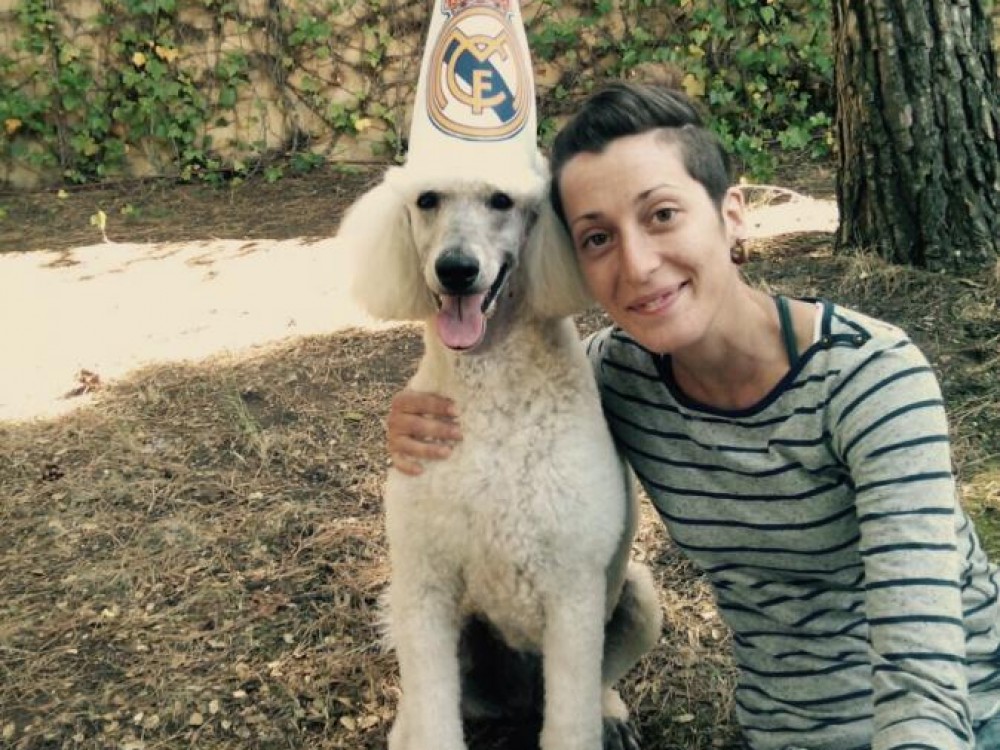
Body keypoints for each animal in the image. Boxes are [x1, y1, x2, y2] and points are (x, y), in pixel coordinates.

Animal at [338, 158, 662, 750]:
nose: (456, 269)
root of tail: (518, 703)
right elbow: (435, 718)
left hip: (638, 599)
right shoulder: (426, 583)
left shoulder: (572, 594)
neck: (490, 391)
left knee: (599, 682)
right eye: (427, 200)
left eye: (502, 201)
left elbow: (571, 723)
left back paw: (609, 713)